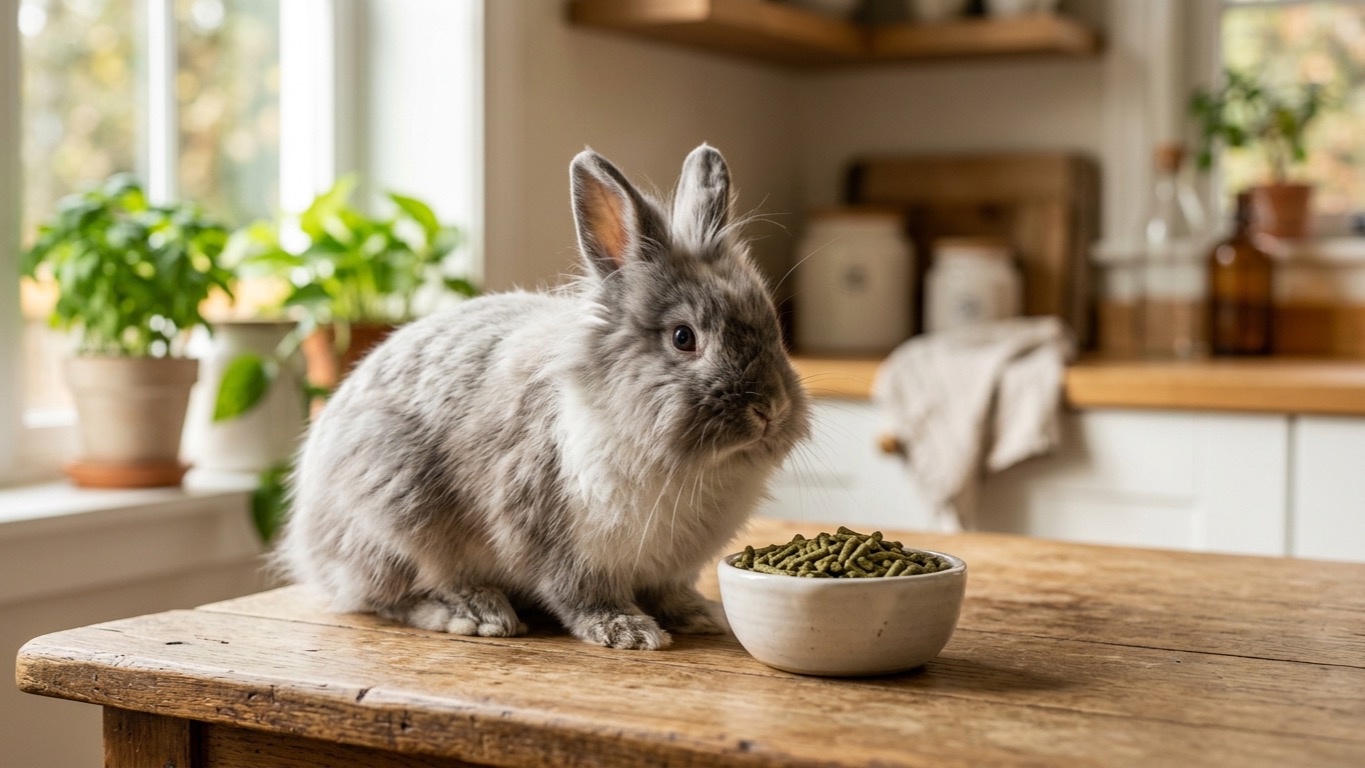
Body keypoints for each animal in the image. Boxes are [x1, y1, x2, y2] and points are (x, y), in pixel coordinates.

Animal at [275, 144, 810, 650]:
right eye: (683, 338)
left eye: (772, 326)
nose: (770, 411)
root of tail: (306, 539)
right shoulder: (551, 534)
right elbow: (578, 594)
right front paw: (629, 631)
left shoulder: (669, 569)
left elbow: (670, 592)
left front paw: (699, 615)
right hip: (392, 514)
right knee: (389, 597)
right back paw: (477, 612)